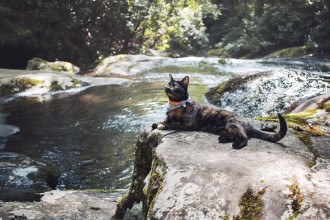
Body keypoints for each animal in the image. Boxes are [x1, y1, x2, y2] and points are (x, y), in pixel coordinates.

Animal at [151, 74, 288, 150]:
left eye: (174, 85)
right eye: (168, 83)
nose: (167, 87)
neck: (175, 105)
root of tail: (248, 124)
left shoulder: (188, 123)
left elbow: (173, 123)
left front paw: (161, 125)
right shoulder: (169, 117)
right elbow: (165, 120)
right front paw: (156, 123)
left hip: (231, 124)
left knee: (245, 138)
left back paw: (237, 145)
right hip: (223, 129)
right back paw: (224, 139)